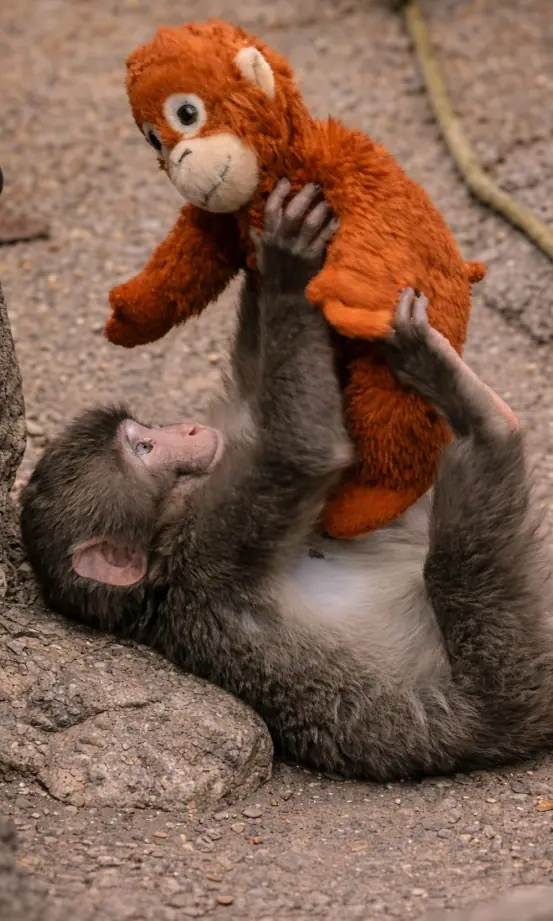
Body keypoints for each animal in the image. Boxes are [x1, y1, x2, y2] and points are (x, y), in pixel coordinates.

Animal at [20, 179, 553, 782]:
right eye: (145, 449)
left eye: (145, 433)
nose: (187, 429)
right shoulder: (207, 547)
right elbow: (303, 451)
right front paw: (286, 263)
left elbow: (260, 398)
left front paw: (256, 243)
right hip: (507, 675)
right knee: (458, 562)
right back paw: (476, 412)